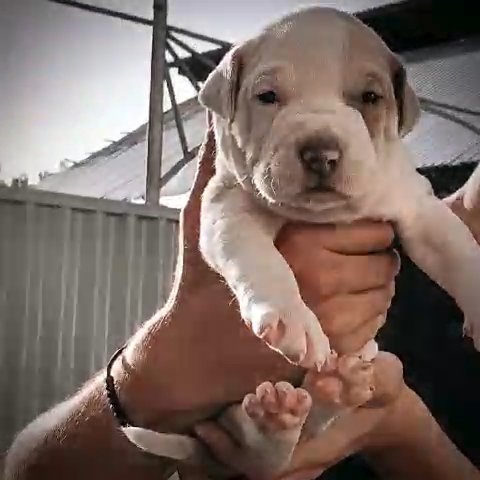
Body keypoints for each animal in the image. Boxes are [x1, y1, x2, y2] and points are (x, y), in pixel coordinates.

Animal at [122, 6, 480, 476]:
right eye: (267, 96)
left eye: (370, 97)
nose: (320, 153)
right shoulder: (227, 204)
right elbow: (259, 259)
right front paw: (290, 320)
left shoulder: (417, 206)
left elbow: (460, 253)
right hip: (231, 419)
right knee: (261, 452)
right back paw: (276, 420)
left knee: (319, 417)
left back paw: (337, 386)